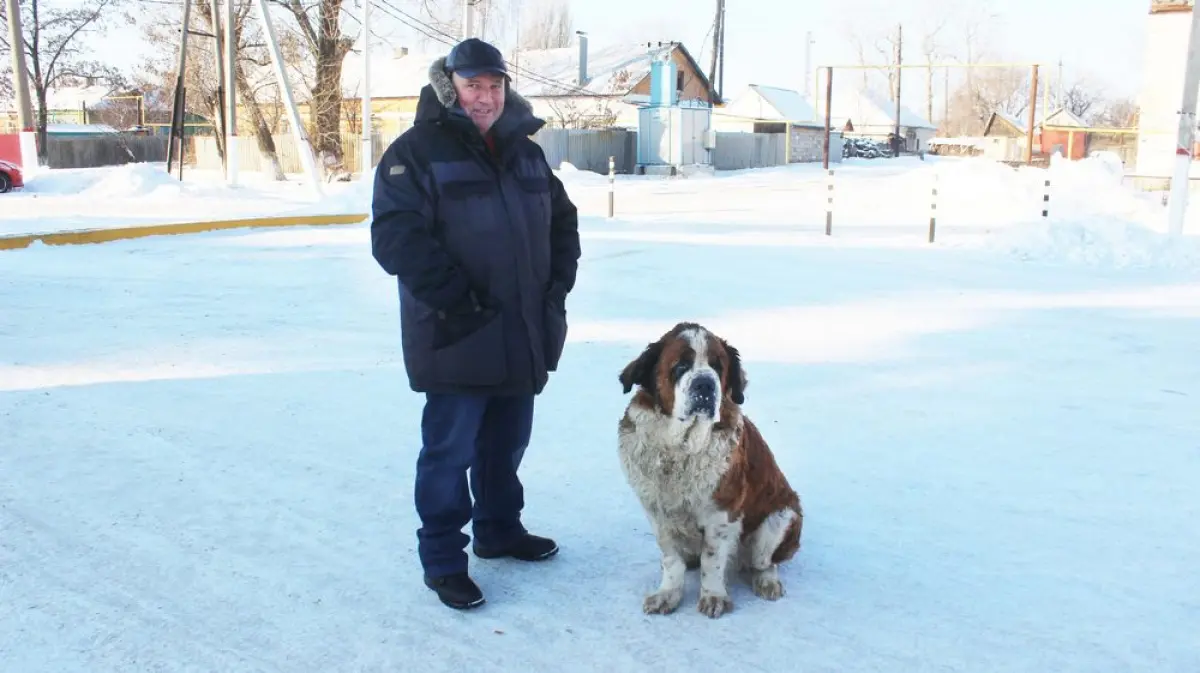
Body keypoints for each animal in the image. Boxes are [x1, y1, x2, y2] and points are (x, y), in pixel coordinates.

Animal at [619, 323, 806, 619]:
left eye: (718, 367)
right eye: (681, 366)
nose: (705, 383)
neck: (681, 448)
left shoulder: (722, 511)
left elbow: (712, 558)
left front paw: (714, 596)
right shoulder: (658, 512)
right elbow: (671, 559)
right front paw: (668, 594)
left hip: (781, 518)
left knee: (764, 562)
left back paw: (767, 582)